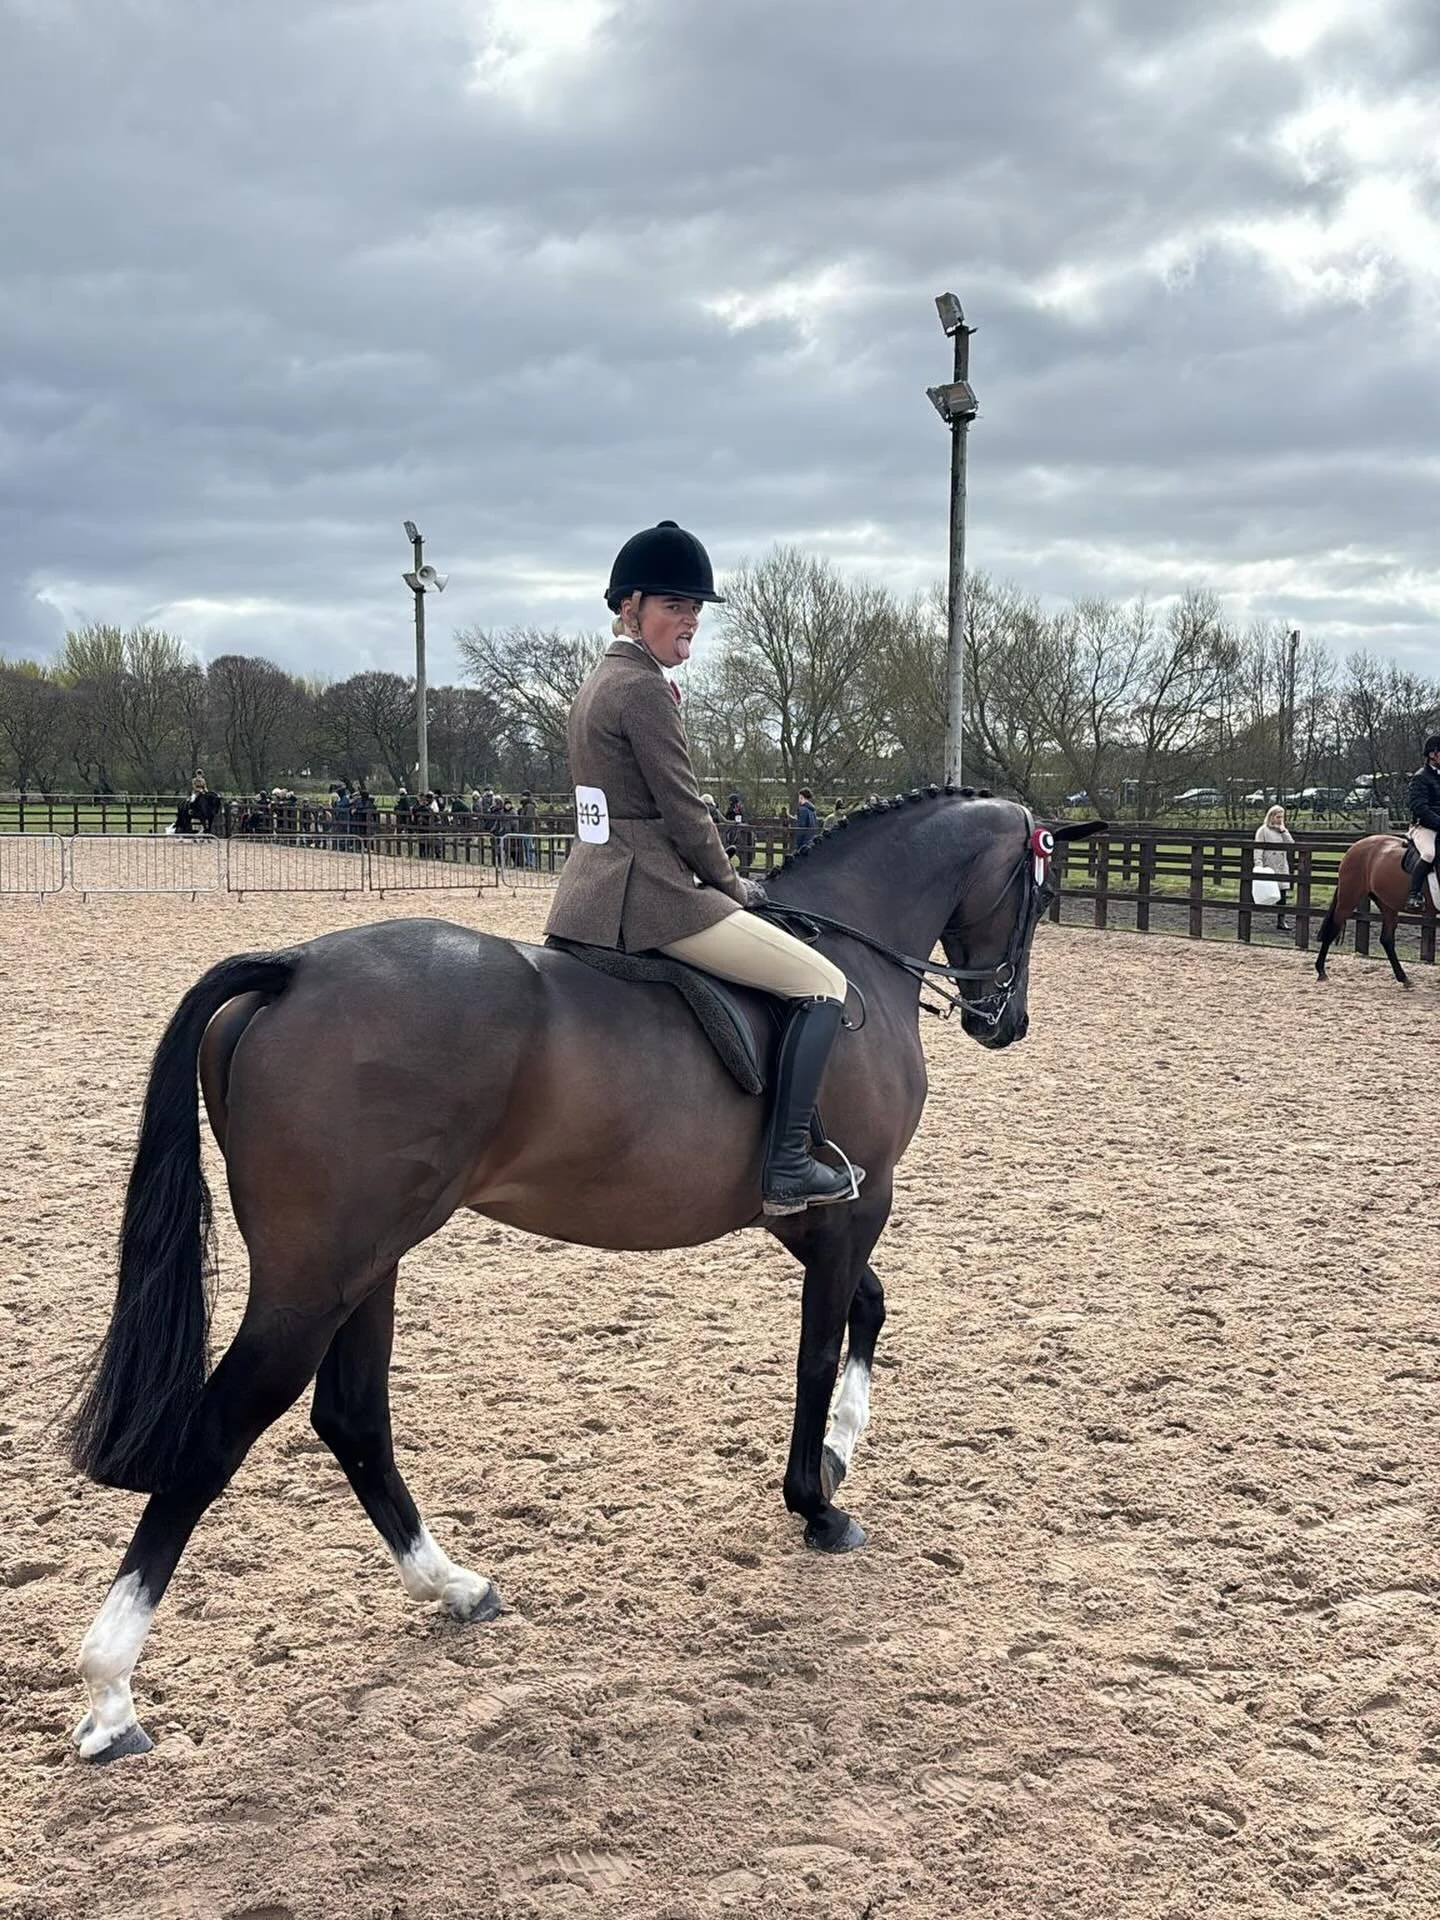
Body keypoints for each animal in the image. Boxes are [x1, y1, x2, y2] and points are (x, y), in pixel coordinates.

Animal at [65, 786, 1103, 1762]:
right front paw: (818, 1504)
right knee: (218, 1435)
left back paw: (453, 1585)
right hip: (313, 1281)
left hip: (368, 1262)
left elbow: (870, 1313)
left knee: (352, 1417)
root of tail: (295, 968)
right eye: (1042, 888)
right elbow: (820, 1349)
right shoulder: (858, 1203)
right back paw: (112, 1695)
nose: (1003, 1020)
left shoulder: (816, 1214)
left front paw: (841, 1452)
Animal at [1314, 832, 1428, 986]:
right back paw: (1321, 972)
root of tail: (1353, 848)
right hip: (1348, 899)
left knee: (1386, 939)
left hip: (1387, 903)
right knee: (1333, 929)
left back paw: (1403, 977)